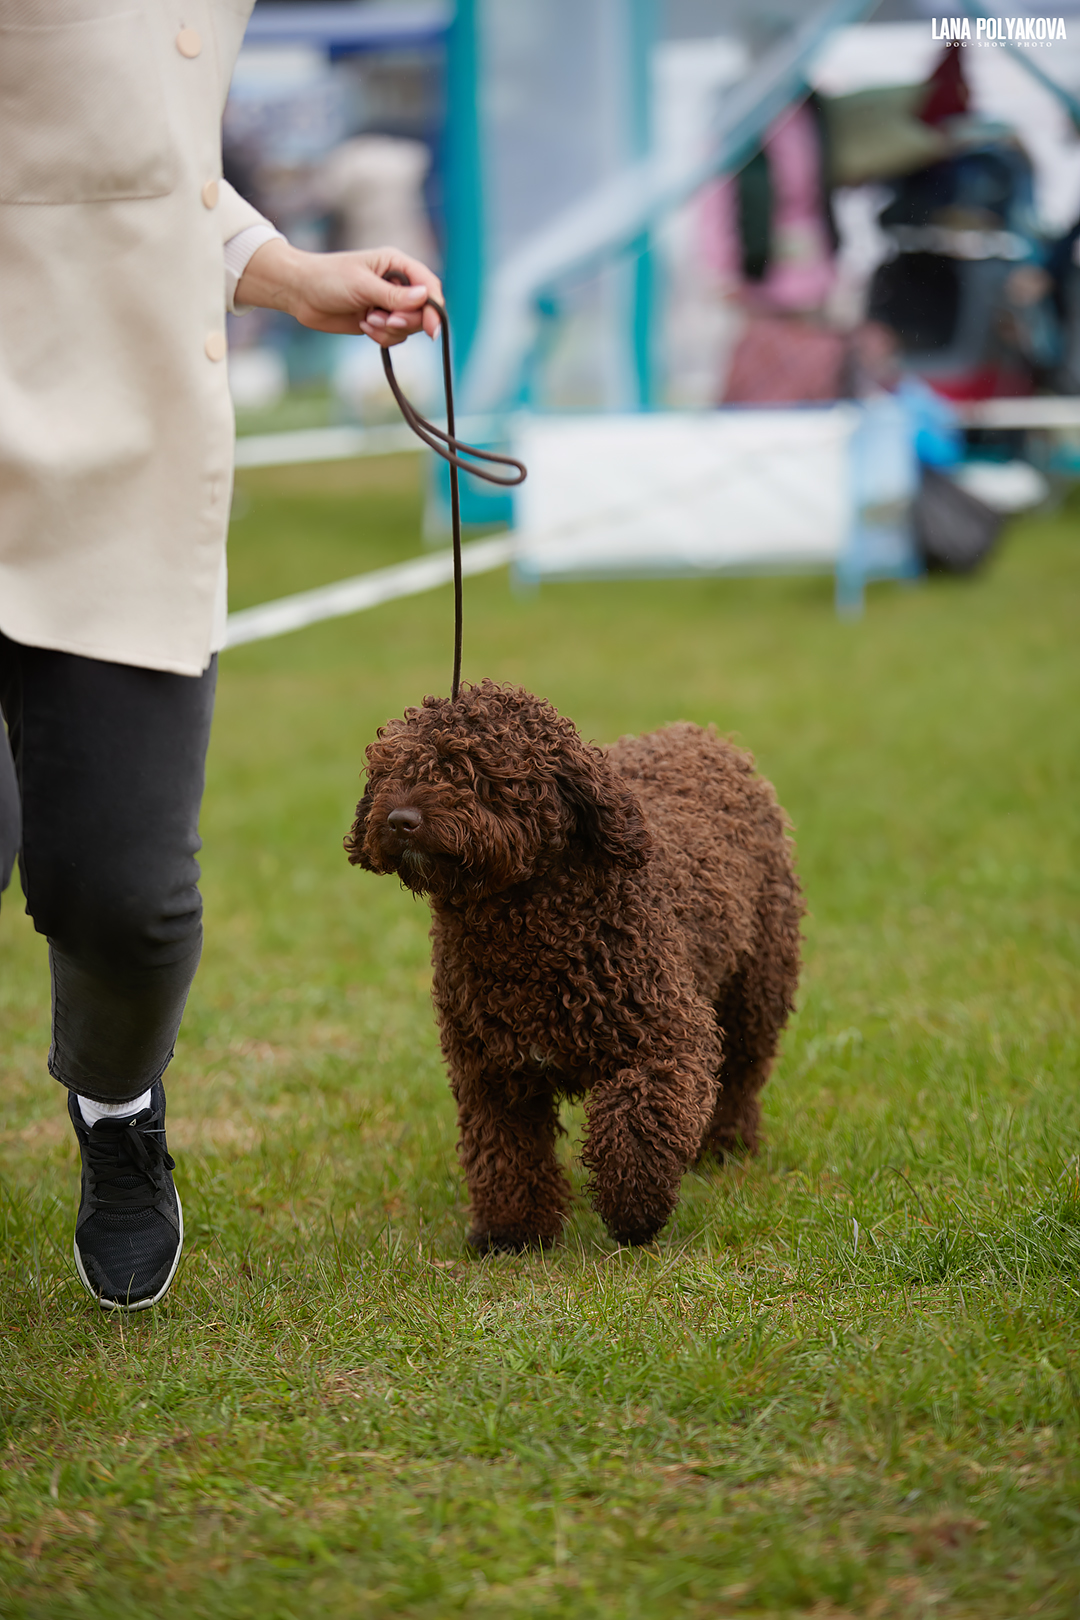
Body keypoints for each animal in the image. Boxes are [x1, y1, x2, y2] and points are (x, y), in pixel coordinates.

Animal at [346, 683, 803, 1250]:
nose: (399, 820)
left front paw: (634, 1212)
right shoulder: (489, 1068)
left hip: (756, 989)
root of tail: (708, 737)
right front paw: (512, 1231)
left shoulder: (668, 1040)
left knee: (740, 1076)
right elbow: (505, 1152)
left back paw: (724, 1149)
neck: (524, 935)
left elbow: (637, 1121)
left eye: (471, 769)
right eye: (389, 769)